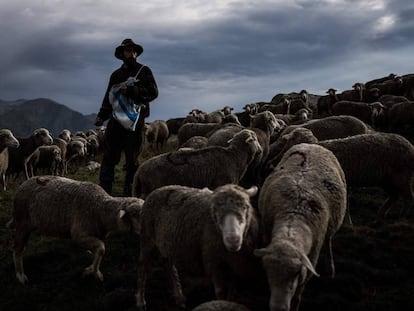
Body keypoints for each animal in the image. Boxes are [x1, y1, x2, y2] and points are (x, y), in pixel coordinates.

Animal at [9, 176, 144, 286]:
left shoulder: (97, 234)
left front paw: (92, 269)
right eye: (134, 214)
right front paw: (93, 272)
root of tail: (23, 184)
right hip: (23, 222)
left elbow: (98, 251)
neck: (100, 208)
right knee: (17, 248)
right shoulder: (79, 235)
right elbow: (101, 249)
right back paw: (20, 276)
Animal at [133, 130, 262, 200]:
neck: (235, 156)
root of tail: (139, 171)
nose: (261, 151)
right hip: (148, 190)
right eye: (254, 139)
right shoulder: (222, 183)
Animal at [256, 143, 346, 311]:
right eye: (267, 272)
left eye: (297, 274)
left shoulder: (310, 261)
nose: (278, 307)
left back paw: (330, 267)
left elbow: (298, 294)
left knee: (329, 239)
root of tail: (312, 144)